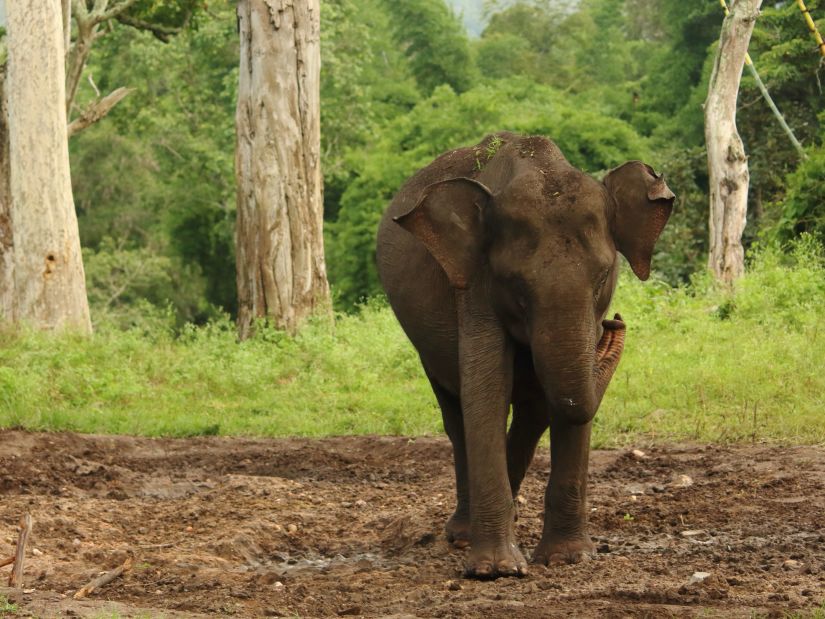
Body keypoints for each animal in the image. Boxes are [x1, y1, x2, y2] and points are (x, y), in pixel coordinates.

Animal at [376, 132, 672, 580]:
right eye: (516, 285)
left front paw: (568, 559)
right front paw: (495, 570)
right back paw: (462, 534)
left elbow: (566, 405)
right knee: (456, 413)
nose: (614, 325)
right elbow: (487, 388)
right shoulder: (475, 284)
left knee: (533, 413)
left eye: (604, 276)